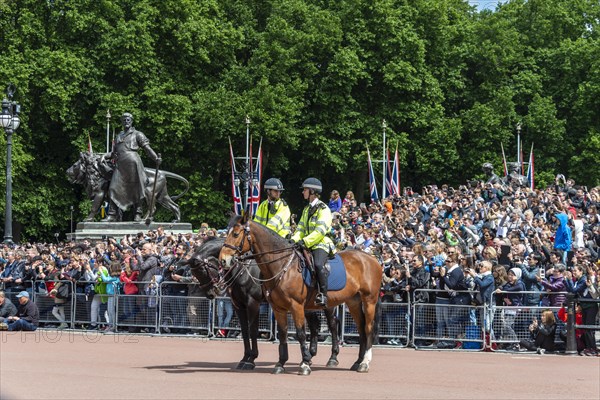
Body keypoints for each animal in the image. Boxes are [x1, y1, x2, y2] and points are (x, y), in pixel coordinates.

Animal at [188, 236, 340, 370]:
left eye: (202, 270)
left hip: (326, 305)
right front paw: (245, 358)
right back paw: (310, 356)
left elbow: (253, 330)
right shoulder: (239, 305)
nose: (210, 294)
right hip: (307, 305)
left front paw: (251, 359)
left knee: (332, 325)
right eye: (195, 273)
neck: (243, 269)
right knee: (314, 325)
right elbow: (245, 331)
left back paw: (332, 357)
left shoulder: (253, 303)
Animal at [218, 214, 382, 374]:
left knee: (363, 327)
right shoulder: (275, 308)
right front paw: (281, 363)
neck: (282, 265)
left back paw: (362, 362)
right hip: (352, 302)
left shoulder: (288, 305)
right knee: (359, 328)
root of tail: (372, 259)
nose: (223, 260)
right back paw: (357, 361)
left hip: (368, 300)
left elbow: (299, 333)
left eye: (235, 234)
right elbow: (281, 333)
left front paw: (304, 364)